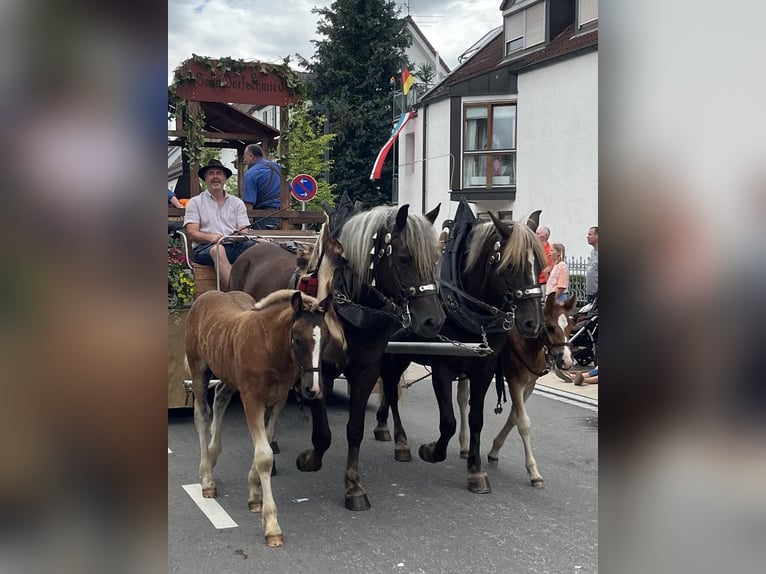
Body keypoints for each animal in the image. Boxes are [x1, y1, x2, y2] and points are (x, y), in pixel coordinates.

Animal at [184, 292, 340, 548]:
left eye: (325, 338)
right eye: (297, 338)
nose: (314, 389)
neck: (270, 349)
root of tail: (204, 297)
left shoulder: (278, 401)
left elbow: (267, 443)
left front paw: (255, 494)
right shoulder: (252, 400)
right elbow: (264, 456)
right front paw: (272, 526)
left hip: (229, 375)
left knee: (221, 397)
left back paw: (214, 453)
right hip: (199, 370)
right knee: (202, 415)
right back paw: (207, 477)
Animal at [296, 204, 448, 512]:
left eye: (437, 258)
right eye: (404, 258)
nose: (434, 321)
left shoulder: (366, 371)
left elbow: (355, 429)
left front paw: (353, 486)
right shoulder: (318, 370)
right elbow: (323, 433)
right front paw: (310, 458)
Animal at [376, 207, 544, 496]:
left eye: (540, 267)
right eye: (511, 266)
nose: (532, 323)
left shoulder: (484, 369)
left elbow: (476, 418)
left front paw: (476, 470)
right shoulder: (442, 368)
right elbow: (449, 422)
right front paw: (431, 451)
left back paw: (383, 425)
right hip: (393, 354)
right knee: (390, 389)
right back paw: (400, 440)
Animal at [456, 290, 576, 488]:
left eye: (570, 327)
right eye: (551, 328)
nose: (566, 361)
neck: (527, 344)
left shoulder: (529, 385)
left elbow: (514, 417)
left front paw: (494, 451)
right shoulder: (515, 382)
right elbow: (523, 423)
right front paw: (534, 472)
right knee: (462, 399)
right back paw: (464, 443)